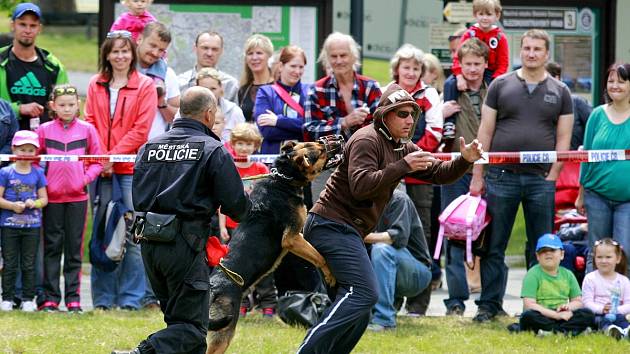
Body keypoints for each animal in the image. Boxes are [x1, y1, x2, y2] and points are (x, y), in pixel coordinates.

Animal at [206, 138, 346, 354]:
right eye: (321, 150)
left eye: (318, 142)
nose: (339, 138)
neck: (284, 178)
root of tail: (213, 288)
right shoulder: (293, 238)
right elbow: (319, 257)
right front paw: (330, 274)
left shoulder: (298, 237)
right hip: (223, 332)